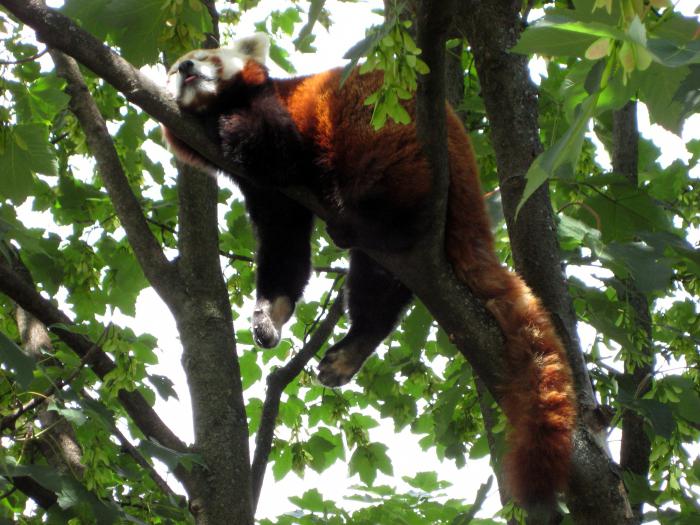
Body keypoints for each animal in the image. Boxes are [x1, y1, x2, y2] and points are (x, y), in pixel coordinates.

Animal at [163, 32, 576, 508]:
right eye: (173, 70)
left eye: (206, 57)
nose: (187, 68)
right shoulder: (266, 194)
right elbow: (285, 249)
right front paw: (270, 314)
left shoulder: (275, 116)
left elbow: (277, 149)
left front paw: (226, 120)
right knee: (376, 288)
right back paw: (353, 347)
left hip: (389, 129)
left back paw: (364, 222)